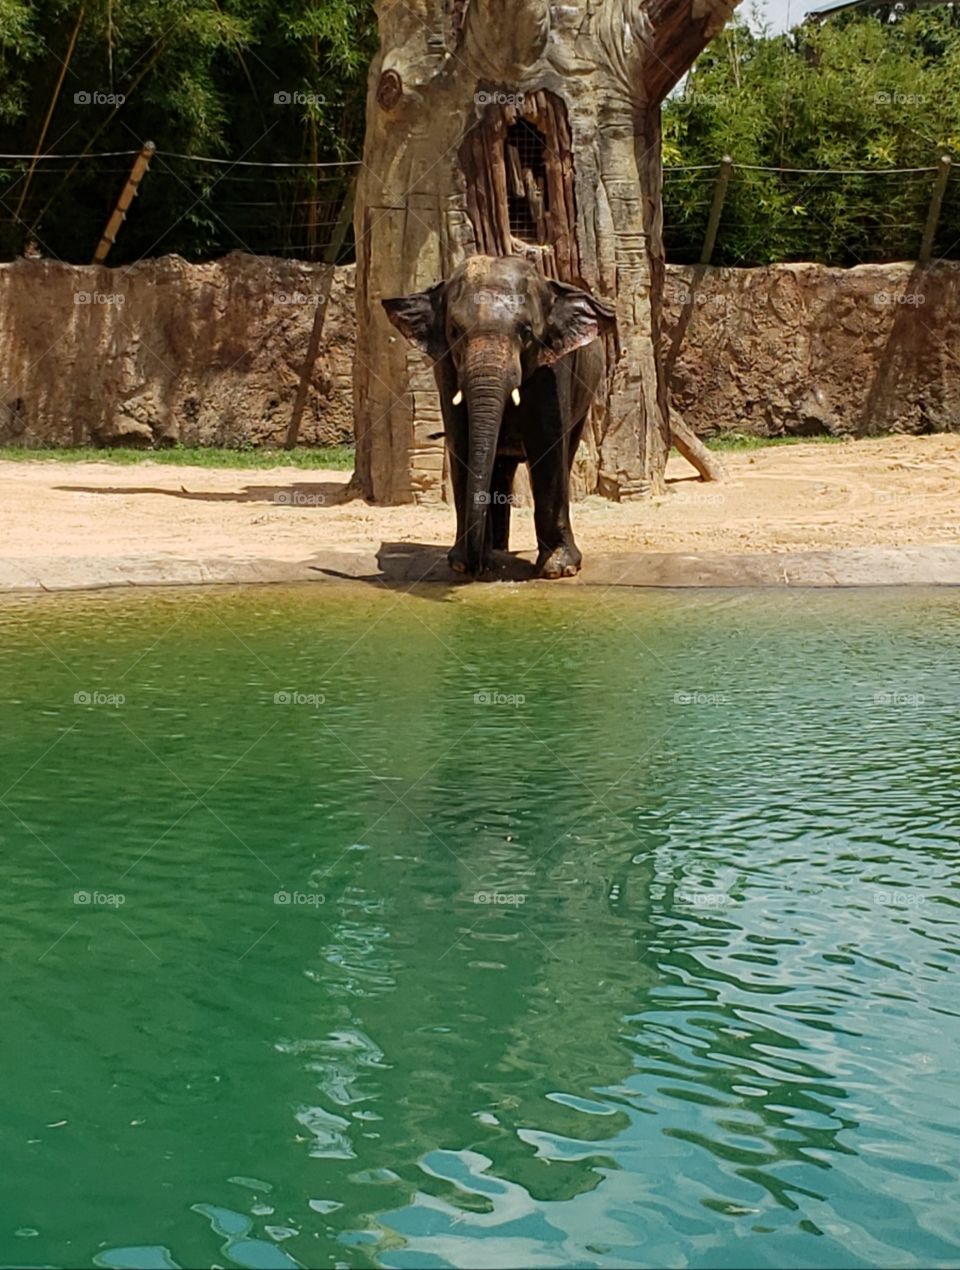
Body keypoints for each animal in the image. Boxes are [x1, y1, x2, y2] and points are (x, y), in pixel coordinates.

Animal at [383, 255, 616, 580]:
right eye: (454, 331)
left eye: (527, 332)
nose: (473, 566)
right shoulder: (446, 368)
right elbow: (463, 442)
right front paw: (466, 563)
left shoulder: (553, 370)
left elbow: (547, 448)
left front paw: (558, 570)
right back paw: (497, 550)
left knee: (564, 452)